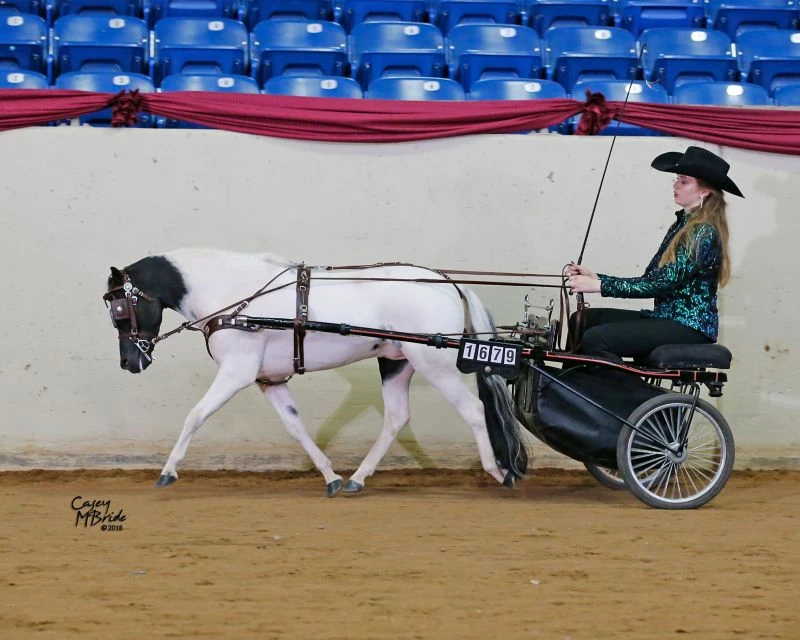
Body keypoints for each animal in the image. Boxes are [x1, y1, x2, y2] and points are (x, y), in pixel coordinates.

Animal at [103, 248, 529, 496]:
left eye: (121, 309)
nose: (130, 363)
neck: (238, 298)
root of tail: (447, 282)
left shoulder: (237, 373)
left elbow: (195, 416)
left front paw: (168, 472)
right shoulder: (269, 381)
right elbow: (296, 428)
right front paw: (331, 477)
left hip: (434, 364)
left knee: (474, 411)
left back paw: (498, 472)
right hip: (396, 362)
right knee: (396, 417)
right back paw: (357, 478)